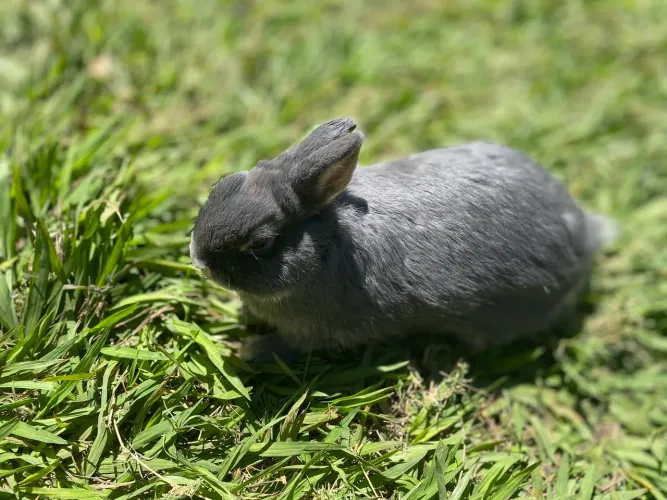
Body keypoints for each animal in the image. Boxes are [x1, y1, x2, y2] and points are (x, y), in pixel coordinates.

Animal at [189, 118, 618, 361]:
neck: (326, 244)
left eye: (259, 244)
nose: (198, 258)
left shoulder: (314, 334)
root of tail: (583, 233)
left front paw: (247, 351)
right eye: (225, 183)